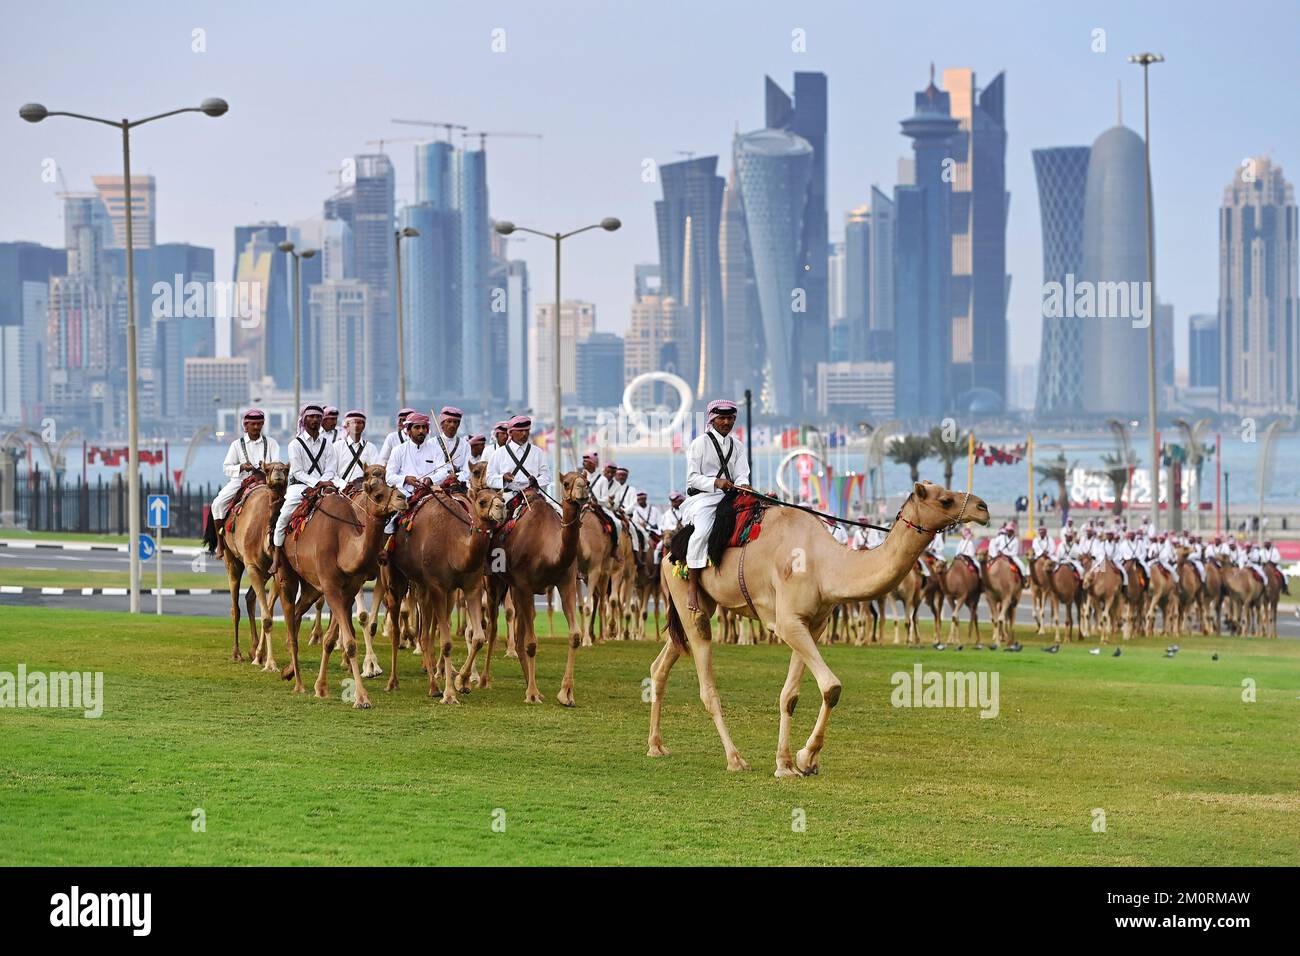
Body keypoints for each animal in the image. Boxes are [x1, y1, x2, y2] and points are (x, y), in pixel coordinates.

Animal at [218, 460, 287, 671]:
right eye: (269, 468)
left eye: (286, 468)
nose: (279, 473)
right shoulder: (252, 567)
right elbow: (266, 618)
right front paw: (270, 664)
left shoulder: (277, 572)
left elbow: (269, 613)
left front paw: (261, 657)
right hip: (232, 560)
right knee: (235, 608)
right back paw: (237, 653)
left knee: (249, 598)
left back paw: (254, 650)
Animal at [276, 468, 408, 702]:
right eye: (378, 495)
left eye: (391, 486)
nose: (403, 499)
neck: (343, 545)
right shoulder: (330, 588)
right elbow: (349, 643)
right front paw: (362, 698)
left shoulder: (347, 589)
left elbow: (332, 640)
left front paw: (321, 687)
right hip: (286, 571)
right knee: (291, 616)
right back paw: (299, 684)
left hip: (311, 585)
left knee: (298, 612)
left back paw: (288, 671)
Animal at [379, 486, 501, 702]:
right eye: (482, 501)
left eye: (501, 497)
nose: (501, 508)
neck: (454, 546)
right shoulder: (438, 587)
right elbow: (446, 643)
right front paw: (450, 694)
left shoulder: (471, 587)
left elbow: (478, 638)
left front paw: (462, 681)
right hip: (395, 576)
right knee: (396, 624)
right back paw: (393, 682)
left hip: (423, 585)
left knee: (424, 634)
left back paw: (434, 687)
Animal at [483, 468, 590, 702]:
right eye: (566, 483)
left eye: (586, 481)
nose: (582, 491)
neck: (547, 549)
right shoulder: (525, 584)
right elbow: (531, 643)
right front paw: (531, 694)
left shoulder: (566, 582)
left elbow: (574, 636)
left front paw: (565, 694)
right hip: (495, 582)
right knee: (493, 627)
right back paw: (479, 680)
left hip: (515, 589)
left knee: (519, 632)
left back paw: (531, 685)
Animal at [650, 486, 982, 780]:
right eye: (945, 499)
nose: (982, 508)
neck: (825, 567)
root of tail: (668, 550)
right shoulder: (787, 622)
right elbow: (832, 687)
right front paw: (806, 759)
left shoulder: (812, 624)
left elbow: (790, 696)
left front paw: (786, 764)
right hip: (685, 593)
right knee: (706, 683)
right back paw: (735, 759)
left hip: (698, 606)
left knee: (662, 663)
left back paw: (656, 746)